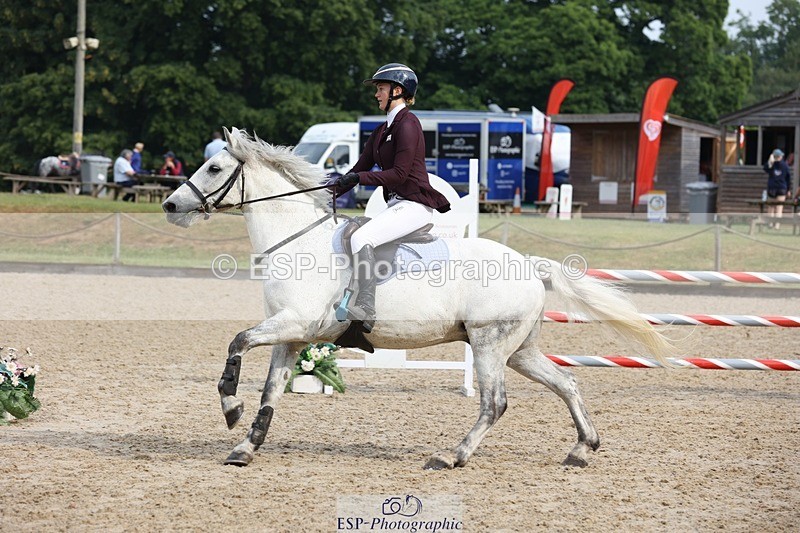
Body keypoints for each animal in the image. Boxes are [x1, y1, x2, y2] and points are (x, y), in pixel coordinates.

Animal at [162, 127, 676, 469]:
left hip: (489, 345)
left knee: (494, 403)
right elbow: (270, 391)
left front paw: (230, 409)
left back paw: (452, 456)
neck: (298, 241)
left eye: (214, 167)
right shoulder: (293, 337)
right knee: (566, 383)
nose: (169, 205)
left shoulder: (292, 324)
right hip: (517, 350)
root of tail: (530, 265)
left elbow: (237, 342)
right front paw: (246, 446)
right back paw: (581, 448)